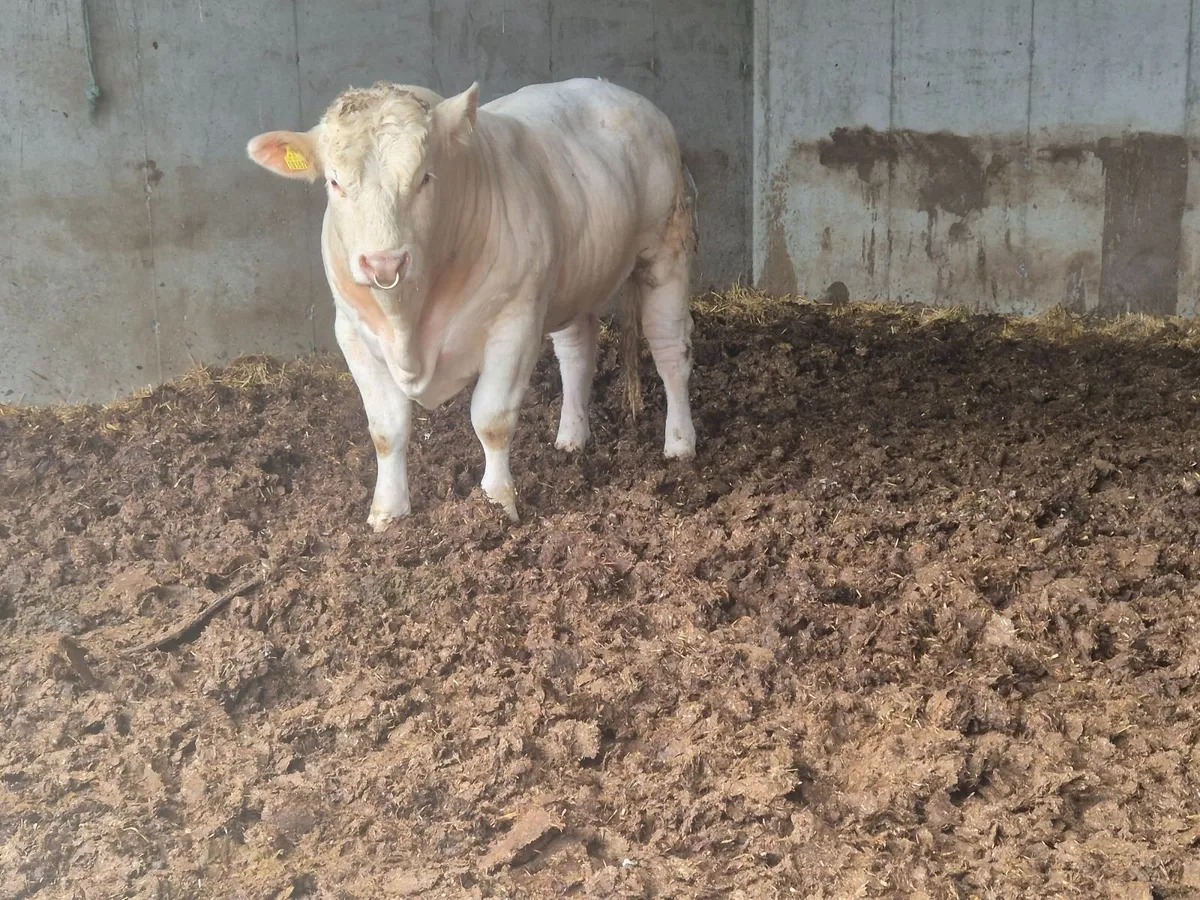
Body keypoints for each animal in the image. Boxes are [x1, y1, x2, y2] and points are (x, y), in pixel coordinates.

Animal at [247, 77, 697, 527]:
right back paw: (571, 437)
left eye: (425, 178)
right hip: (573, 275)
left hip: (665, 250)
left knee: (669, 349)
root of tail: (612, 89)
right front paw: (387, 513)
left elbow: (492, 420)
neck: (409, 322)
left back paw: (679, 443)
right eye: (335, 183)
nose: (383, 262)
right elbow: (386, 430)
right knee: (576, 350)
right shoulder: (352, 332)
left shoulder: (514, 322)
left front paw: (497, 503)